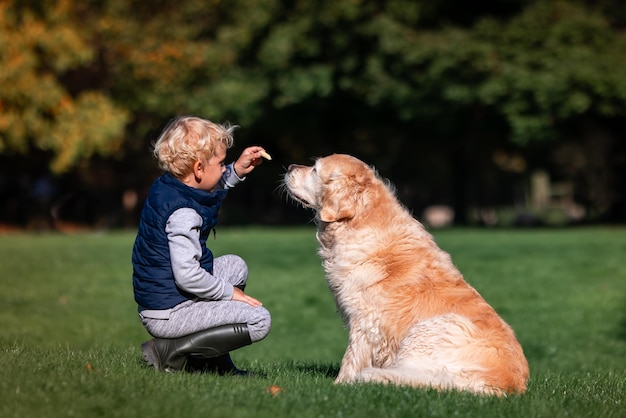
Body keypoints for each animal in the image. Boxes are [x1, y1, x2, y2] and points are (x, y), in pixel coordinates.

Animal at [282, 154, 528, 396]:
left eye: (315, 169)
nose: (290, 166)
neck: (359, 220)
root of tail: (510, 384)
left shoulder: (366, 321)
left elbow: (351, 358)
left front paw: (340, 385)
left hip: (430, 330)